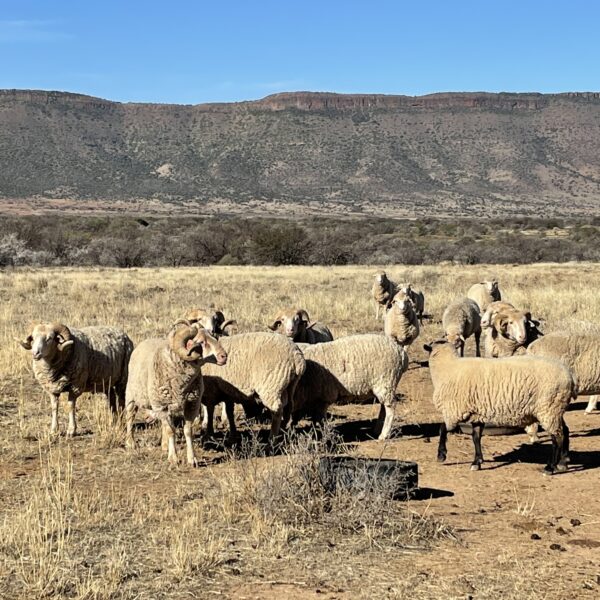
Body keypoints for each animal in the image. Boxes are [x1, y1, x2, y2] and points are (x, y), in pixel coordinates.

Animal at [124, 322, 227, 466]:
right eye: (201, 342)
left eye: (214, 337)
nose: (224, 356)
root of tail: (144, 341)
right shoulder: (162, 405)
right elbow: (170, 430)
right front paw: (173, 458)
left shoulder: (192, 404)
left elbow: (187, 431)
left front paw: (192, 459)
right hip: (132, 396)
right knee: (130, 417)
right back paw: (130, 442)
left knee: (162, 423)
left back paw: (164, 445)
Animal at [424, 340, 576, 476]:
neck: (447, 367)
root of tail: (569, 377)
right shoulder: (477, 413)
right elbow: (476, 437)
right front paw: (477, 462)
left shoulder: (453, 410)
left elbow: (442, 428)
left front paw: (441, 455)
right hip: (555, 408)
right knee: (564, 431)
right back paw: (563, 463)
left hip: (548, 409)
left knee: (556, 438)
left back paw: (550, 467)